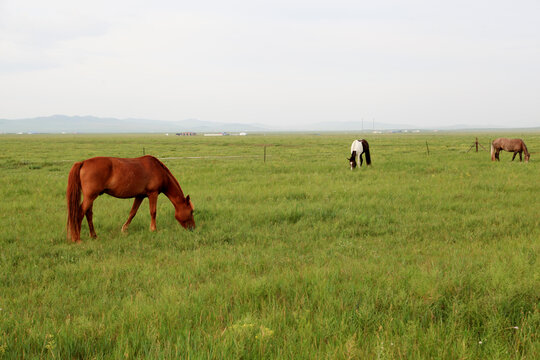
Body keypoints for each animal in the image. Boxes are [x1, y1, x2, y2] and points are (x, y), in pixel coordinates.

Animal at [66, 155, 195, 242]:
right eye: (191, 211)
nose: (193, 228)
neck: (158, 170)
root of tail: (83, 162)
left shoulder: (140, 196)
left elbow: (132, 212)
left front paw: (124, 229)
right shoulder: (152, 194)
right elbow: (153, 212)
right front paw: (153, 229)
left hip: (91, 197)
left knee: (88, 214)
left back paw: (93, 235)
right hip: (90, 197)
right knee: (80, 213)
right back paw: (77, 239)